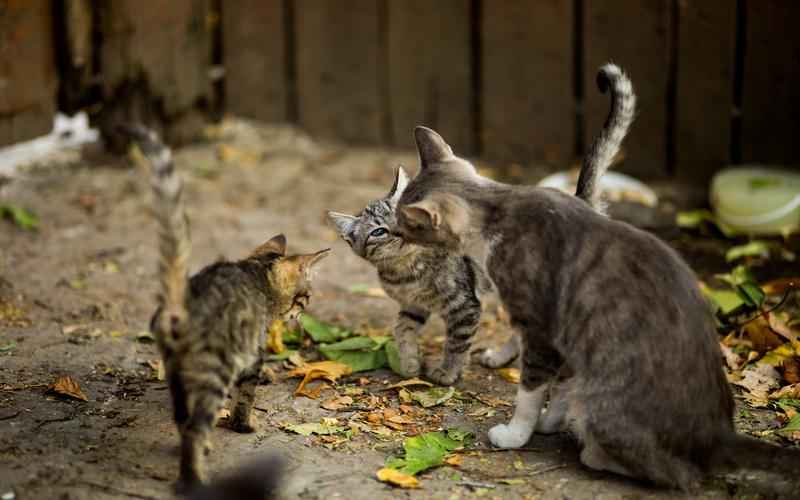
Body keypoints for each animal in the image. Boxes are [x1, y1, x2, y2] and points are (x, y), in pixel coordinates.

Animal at [123, 126, 330, 492]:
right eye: (305, 298)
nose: (301, 315)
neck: (256, 274)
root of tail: (181, 304)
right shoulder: (252, 357)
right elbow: (245, 397)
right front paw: (243, 425)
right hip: (213, 370)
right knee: (195, 425)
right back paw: (194, 479)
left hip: (176, 371)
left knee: (183, 419)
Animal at [324, 170, 500, 384]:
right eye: (378, 231)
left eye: (403, 215)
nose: (401, 231)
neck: (408, 270)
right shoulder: (413, 305)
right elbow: (402, 328)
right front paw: (409, 363)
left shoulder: (465, 306)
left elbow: (456, 343)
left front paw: (448, 372)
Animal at [390, 62, 800, 488]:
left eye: (405, 222)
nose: (390, 231)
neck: (498, 208)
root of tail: (718, 435)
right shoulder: (566, 332)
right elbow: (557, 382)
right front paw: (549, 418)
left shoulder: (543, 326)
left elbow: (530, 390)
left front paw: (517, 433)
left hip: (607, 398)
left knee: (678, 474)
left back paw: (592, 451)